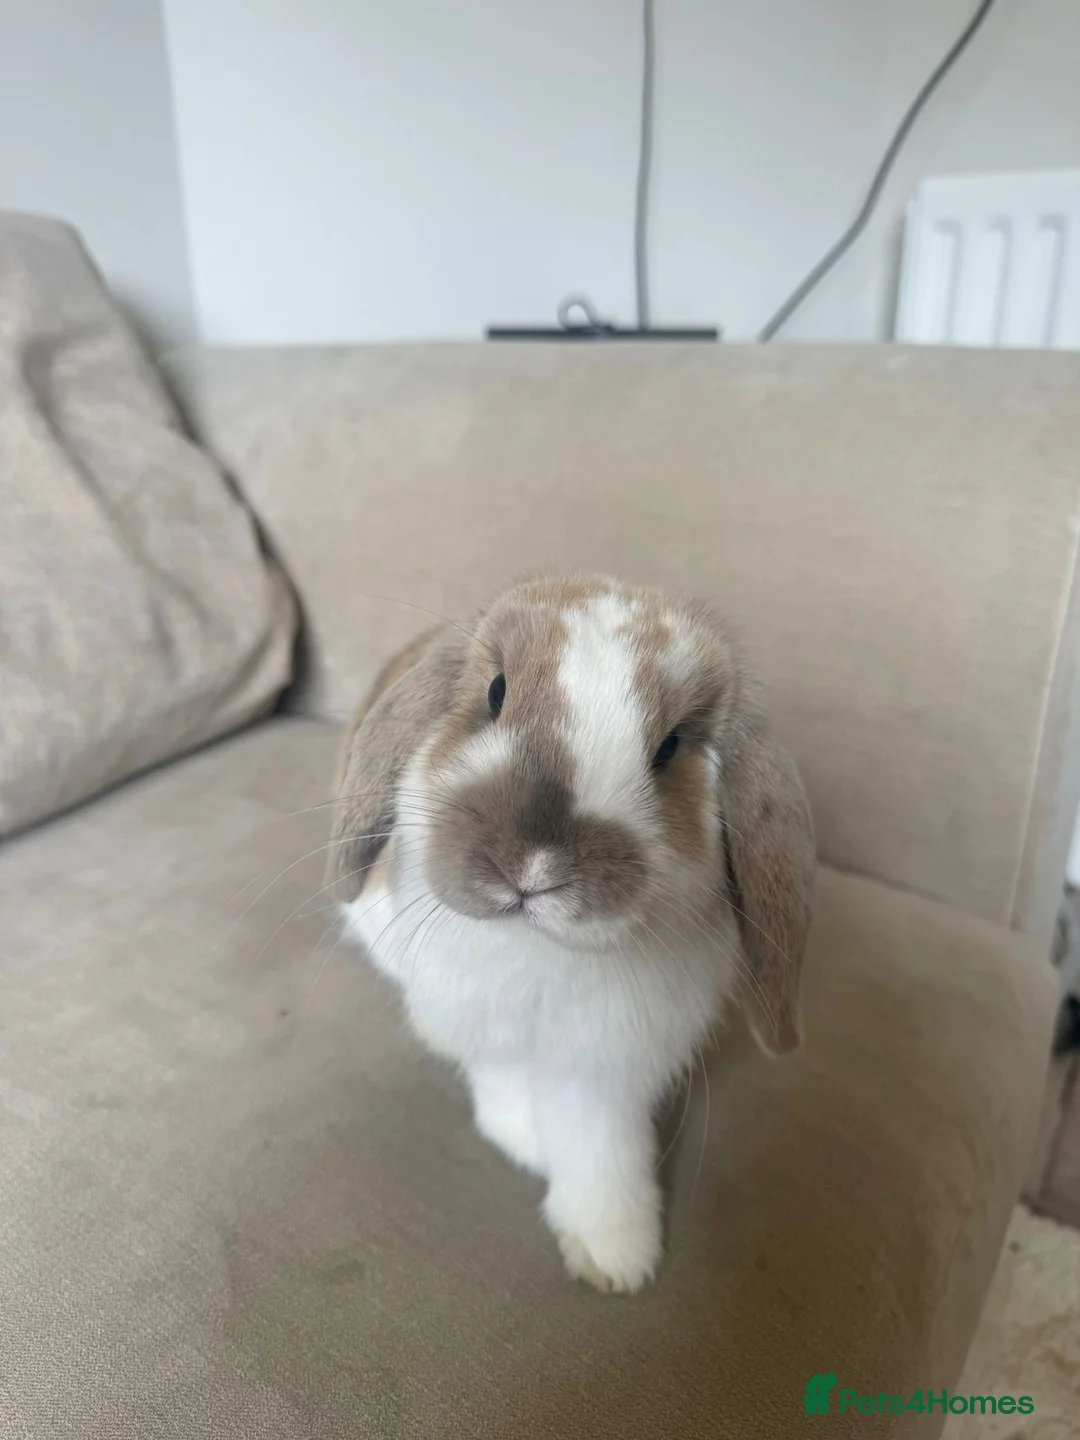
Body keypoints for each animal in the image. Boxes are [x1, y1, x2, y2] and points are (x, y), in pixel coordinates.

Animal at [327, 575, 815, 1293]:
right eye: (495, 691)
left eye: (671, 746)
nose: (534, 865)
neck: (538, 953)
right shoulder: (480, 1021)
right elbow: (502, 1081)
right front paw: (525, 1142)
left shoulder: (607, 1065)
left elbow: (601, 1149)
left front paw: (615, 1253)